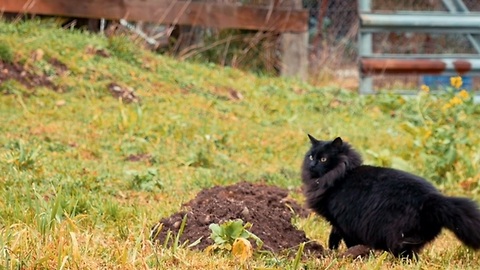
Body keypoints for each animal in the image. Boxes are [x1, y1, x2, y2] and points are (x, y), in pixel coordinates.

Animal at [302, 135, 480, 258]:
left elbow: (346, 240)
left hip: (398, 237)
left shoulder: (343, 222)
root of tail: (434, 198)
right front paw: (332, 251)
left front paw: (349, 255)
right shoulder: (336, 223)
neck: (340, 176)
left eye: (323, 159)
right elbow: (333, 237)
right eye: (311, 156)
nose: (312, 165)